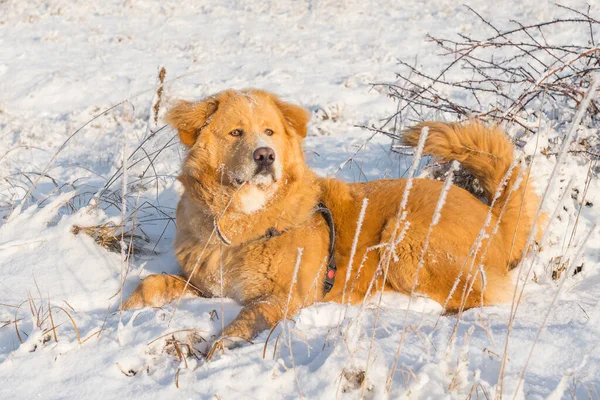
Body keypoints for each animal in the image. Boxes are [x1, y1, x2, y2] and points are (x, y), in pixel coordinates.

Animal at [120, 89, 540, 352]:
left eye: (269, 131)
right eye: (236, 132)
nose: (265, 155)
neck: (246, 222)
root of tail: (496, 217)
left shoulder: (286, 296)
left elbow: (250, 316)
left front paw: (224, 344)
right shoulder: (206, 284)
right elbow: (152, 283)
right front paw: (122, 312)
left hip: (404, 237)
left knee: (469, 296)